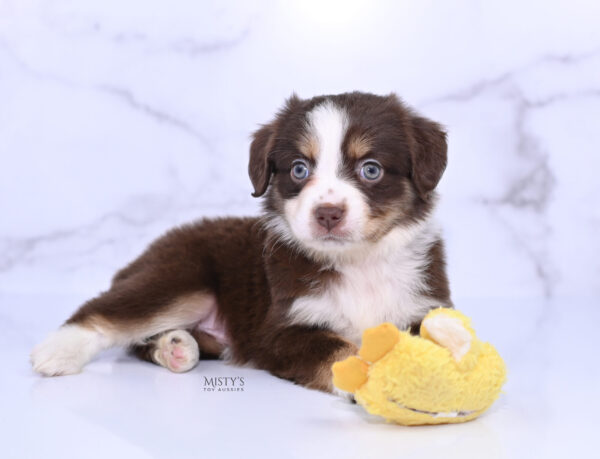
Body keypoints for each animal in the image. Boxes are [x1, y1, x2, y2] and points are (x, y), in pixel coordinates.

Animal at [29, 92, 450, 396]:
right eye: (299, 169)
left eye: (371, 169)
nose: (328, 213)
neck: (359, 262)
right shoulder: (280, 330)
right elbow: (337, 348)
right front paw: (365, 377)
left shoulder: (424, 306)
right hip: (181, 277)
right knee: (109, 313)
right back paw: (56, 352)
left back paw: (176, 347)